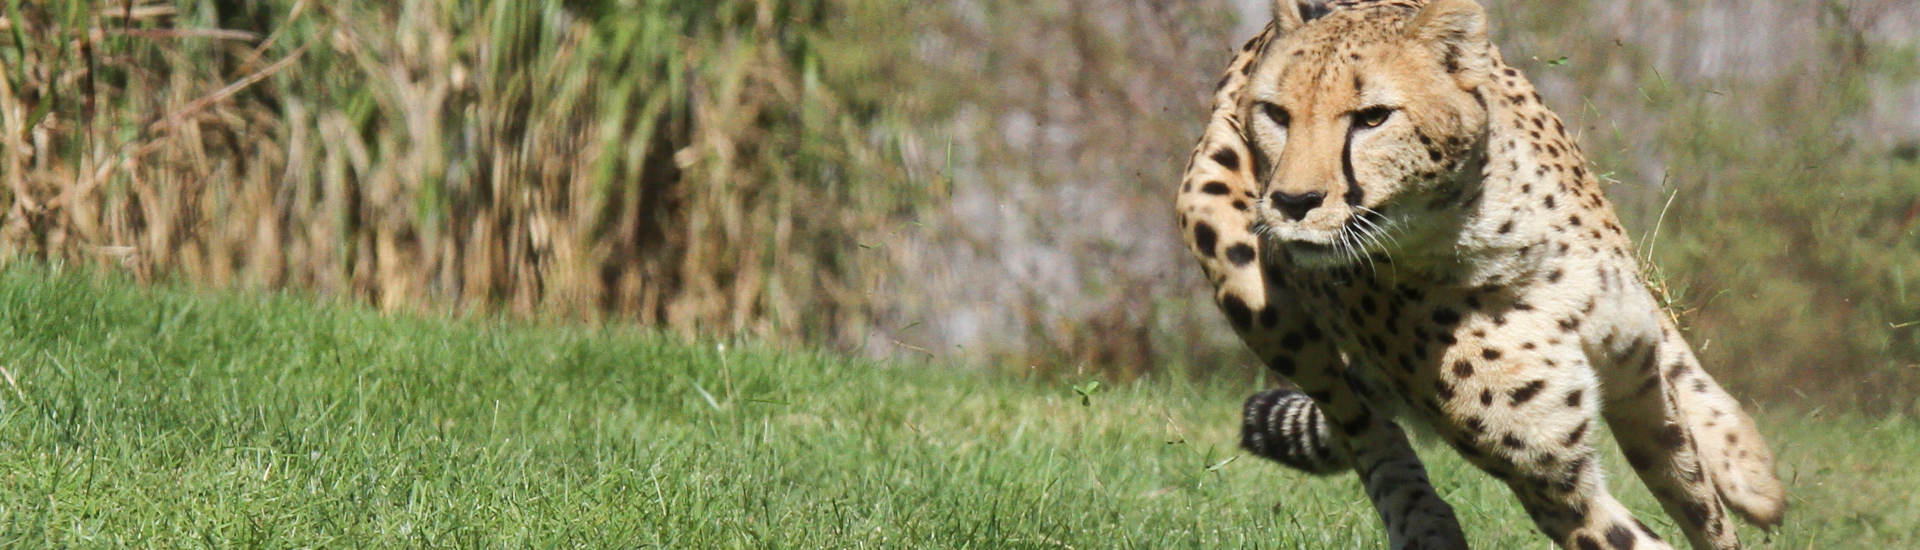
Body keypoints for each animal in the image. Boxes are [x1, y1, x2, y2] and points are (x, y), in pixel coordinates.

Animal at [1173, 1, 1788, 549]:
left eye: (1373, 116)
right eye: (1276, 114)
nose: (1292, 201)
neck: (1495, 242)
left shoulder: (1639, 392)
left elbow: (1704, 512)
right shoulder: (1556, 486)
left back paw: (1749, 467)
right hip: (1240, 269)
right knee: (1353, 416)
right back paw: (1421, 522)